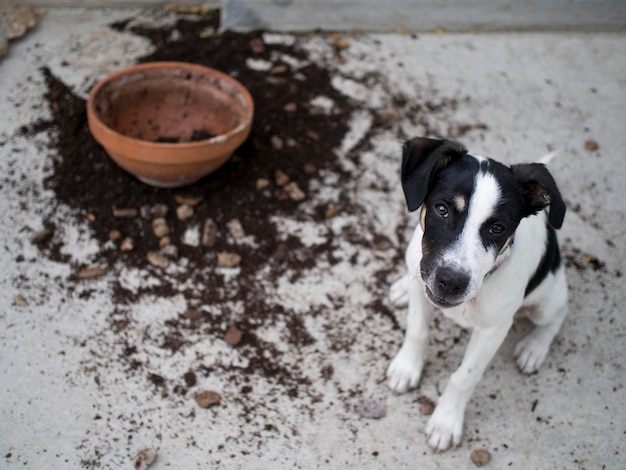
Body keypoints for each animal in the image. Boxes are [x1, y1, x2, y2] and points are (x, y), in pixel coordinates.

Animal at [386, 137, 564, 452]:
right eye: (442, 209)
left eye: (497, 228)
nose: (451, 283)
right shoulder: (423, 287)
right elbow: (417, 332)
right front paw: (407, 369)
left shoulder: (494, 330)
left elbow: (464, 378)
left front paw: (445, 422)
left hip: (548, 300)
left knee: (557, 316)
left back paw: (535, 347)